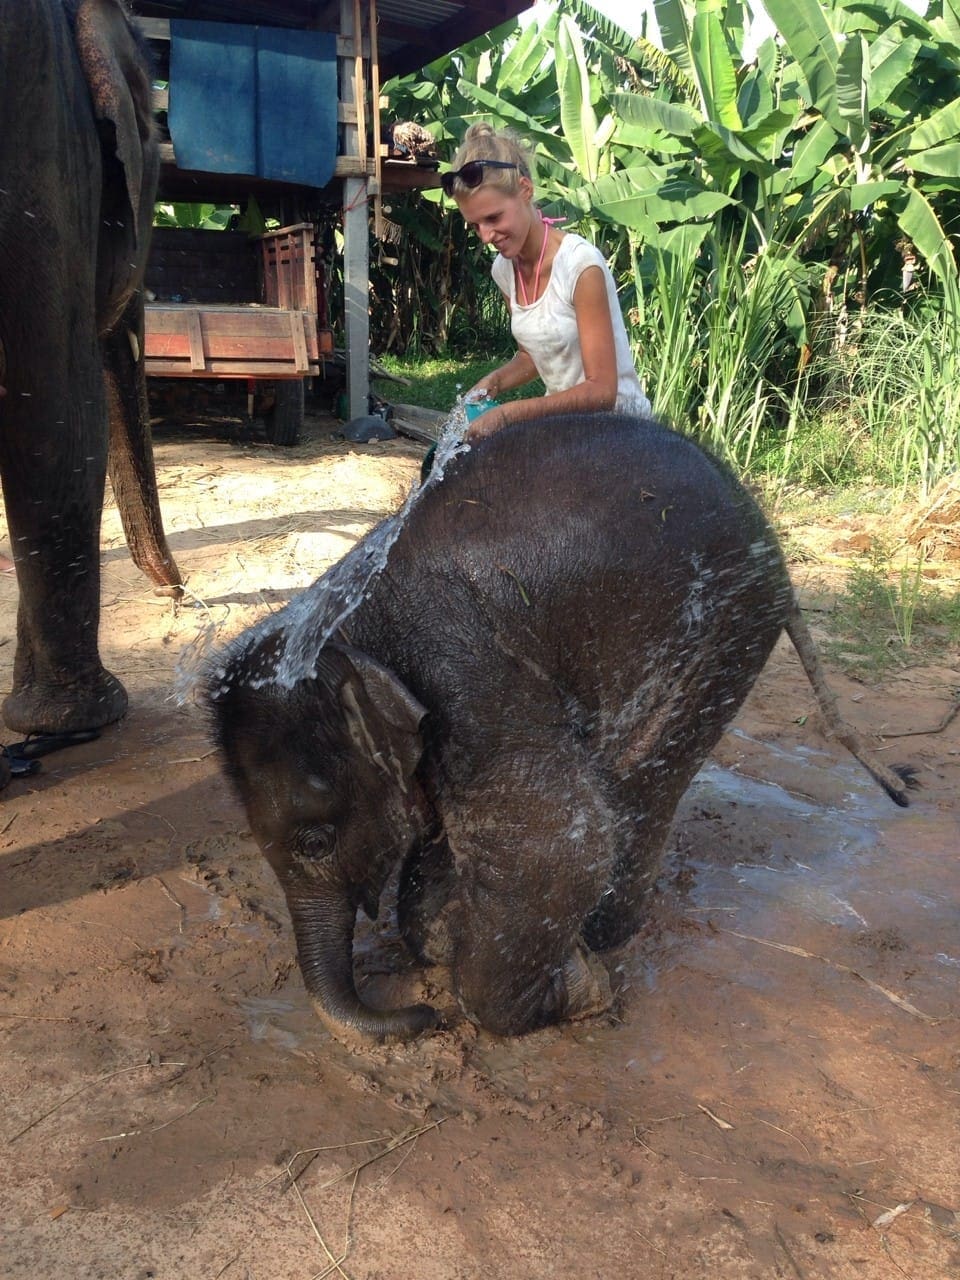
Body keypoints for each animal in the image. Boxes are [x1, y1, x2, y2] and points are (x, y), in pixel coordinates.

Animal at [207, 414, 793, 1044]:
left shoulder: (461, 669)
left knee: (638, 779)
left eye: (315, 841)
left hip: (721, 632)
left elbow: (552, 844)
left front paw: (580, 987)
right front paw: (451, 933)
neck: (342, 621)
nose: (423, 1015)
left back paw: (604, 939)